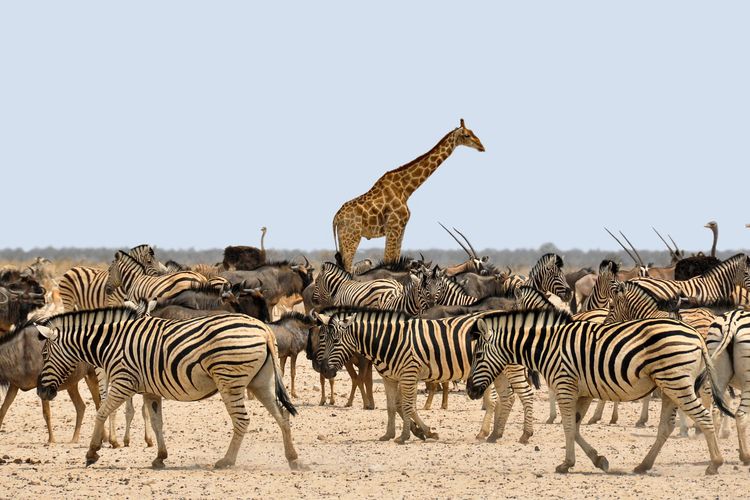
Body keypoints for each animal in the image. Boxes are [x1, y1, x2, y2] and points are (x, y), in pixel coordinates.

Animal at [35, 305, 302, 470]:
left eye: (45, 354)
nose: (41, 391)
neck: (111, 342)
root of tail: (264, 329)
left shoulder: (123, 382)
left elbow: (101, 412)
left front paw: (92, 452)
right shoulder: (150, 390)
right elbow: (157, 422)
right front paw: (160, 457)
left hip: (230, 381)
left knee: (243, 421)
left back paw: (226, 461)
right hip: (261, 382)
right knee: (282, 415)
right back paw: (293, 459)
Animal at [315, 308, 537, 444]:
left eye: (335, 341)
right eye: (323, 338)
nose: (324, 370)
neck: (387, 341)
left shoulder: (409, 374)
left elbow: (406, 406)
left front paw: (406, 435)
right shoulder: (390, 378)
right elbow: (392, 406)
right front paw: (391, 434)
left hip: (511, 368)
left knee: (525, 396)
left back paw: (524, 435)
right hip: (497, 371)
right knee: (507, 398)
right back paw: (493, 434)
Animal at [466, 308, 732, 475]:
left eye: (477, 355)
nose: (469, 391)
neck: (547, 346)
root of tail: (696, 334)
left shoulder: (564, 385)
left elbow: (568, 427)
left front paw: (566, 464)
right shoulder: (582, 392)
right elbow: (575, 427)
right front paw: (599, 460)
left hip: (676, 381)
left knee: (704, 417)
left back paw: (715, 464)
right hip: (668, 385)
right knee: (666, 427)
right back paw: (644, 465)